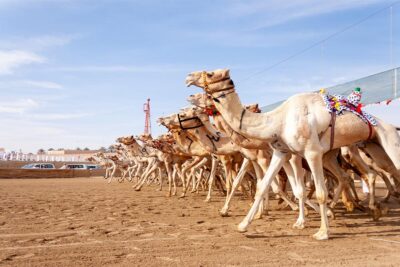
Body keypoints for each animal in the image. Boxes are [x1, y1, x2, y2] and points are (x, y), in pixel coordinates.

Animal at [185, 69, 400, 241]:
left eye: (209, 73)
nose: (188, 77)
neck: (277, 121)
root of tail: (390, 126)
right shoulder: (281, 152)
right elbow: (264, 186)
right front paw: (244, 225)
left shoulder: (310, 153)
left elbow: (317, 192)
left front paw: (322, 231)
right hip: (360, 149)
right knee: (352, 176)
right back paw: (372, 210)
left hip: (387, 142)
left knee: (383, 172)